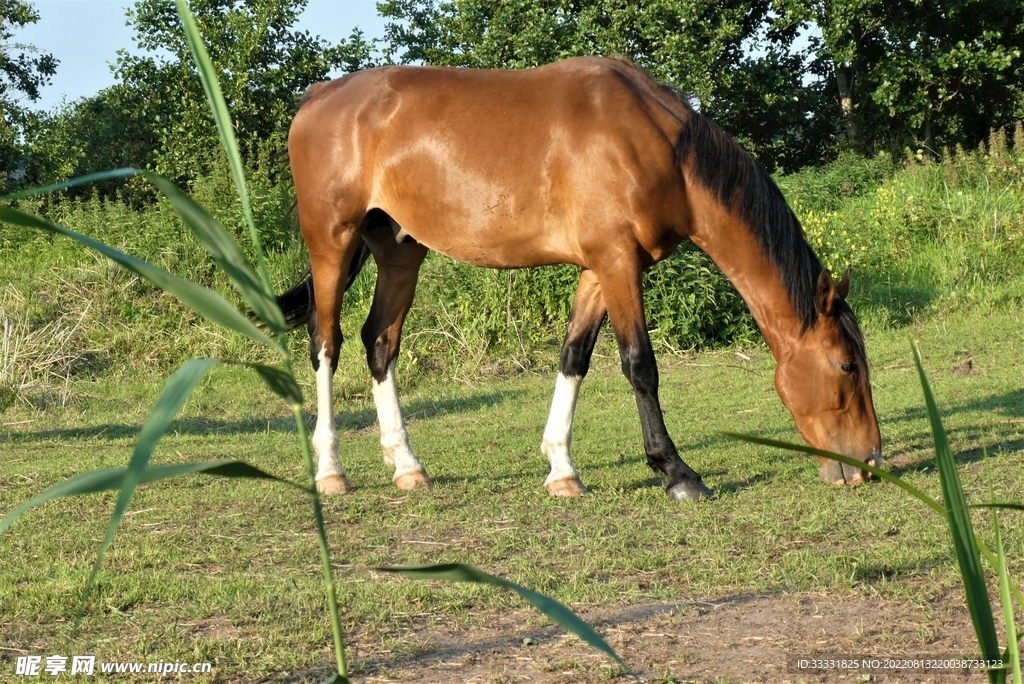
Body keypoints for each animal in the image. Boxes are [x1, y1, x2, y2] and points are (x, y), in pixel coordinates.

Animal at [276, 55, 882, 501]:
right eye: (846, 366)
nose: (870, 463)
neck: (657, 146)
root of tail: (319, 96)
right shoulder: (617, 263)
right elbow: (640, 366)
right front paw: (677, 473)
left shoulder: (601, 267)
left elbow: (575, 359)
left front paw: (562, 469)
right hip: (332, 243)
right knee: (325, 343)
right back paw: (330, 471)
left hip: (400, 252)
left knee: (380, 342)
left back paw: (406, 465)